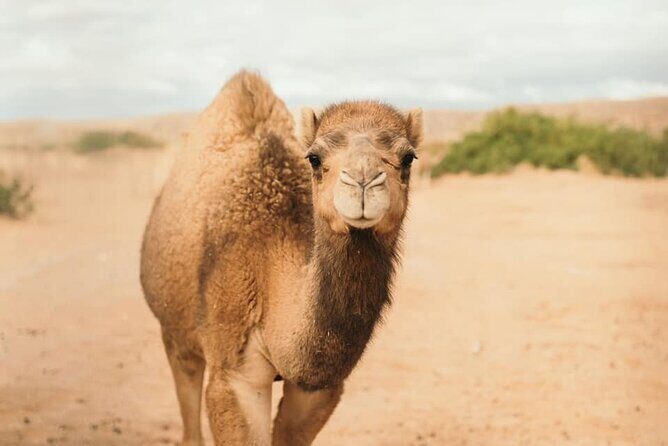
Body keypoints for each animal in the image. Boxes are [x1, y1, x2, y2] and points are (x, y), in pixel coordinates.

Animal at [140, 71, 422, 445]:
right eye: (314, 158)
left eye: (408, 158)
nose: (362, 181)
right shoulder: (234, 375)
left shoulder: (319, 389)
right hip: (175, 328)